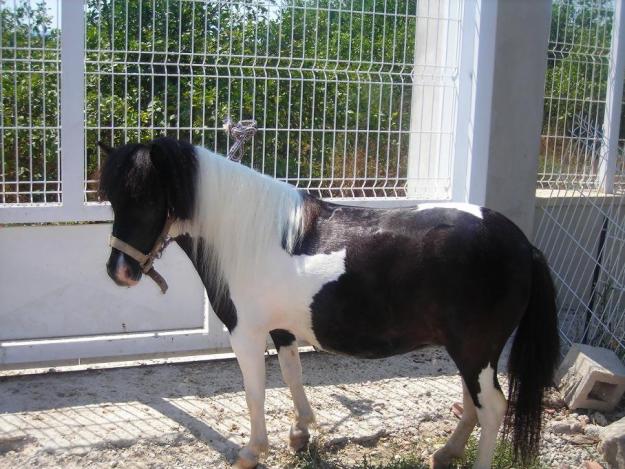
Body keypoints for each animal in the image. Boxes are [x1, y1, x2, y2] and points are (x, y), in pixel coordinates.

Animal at [98, 137, 560, 468]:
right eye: (114, 200)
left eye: (148, 199)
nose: (119, 271)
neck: (252, 237)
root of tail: (524, 245)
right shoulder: (282, 329)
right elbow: (292, 376)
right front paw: (301, 433)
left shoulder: (246, 333)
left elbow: (255, 393)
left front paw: (253, 451)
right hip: (468, 350)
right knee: (472, 402)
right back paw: (446, 454)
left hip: (475, 349)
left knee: (492, 408)